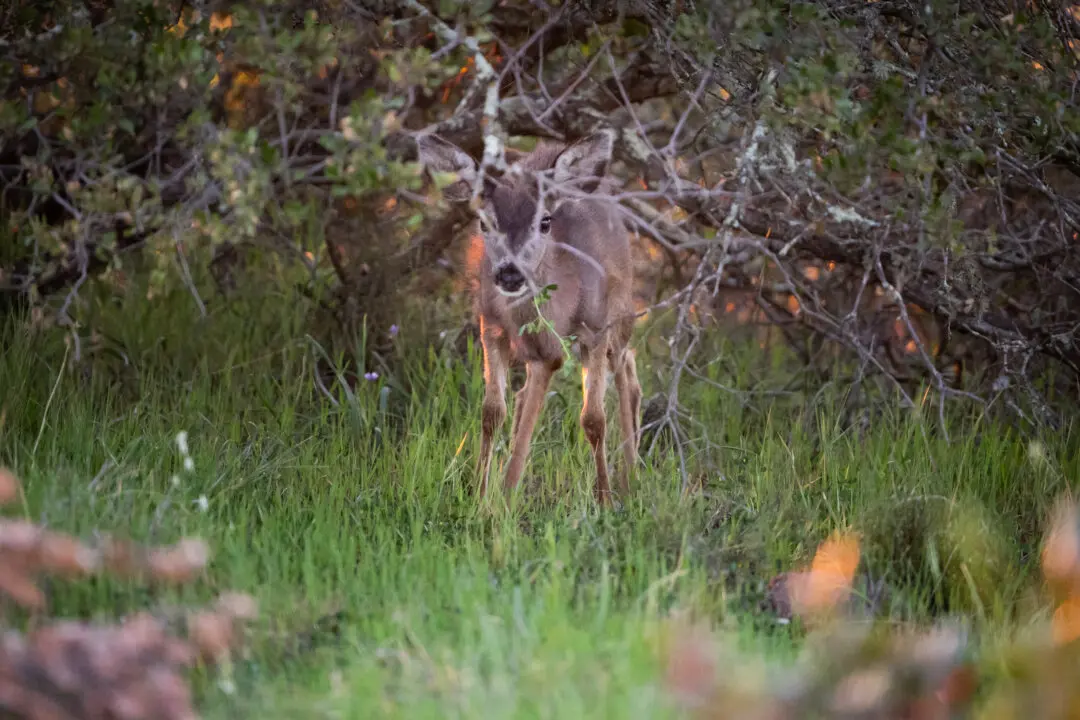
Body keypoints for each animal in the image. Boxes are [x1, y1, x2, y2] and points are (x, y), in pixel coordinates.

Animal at [415, 129, 642, 507]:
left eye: (545, 221)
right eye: (484, 222)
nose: (510, 273)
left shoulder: (590, 329)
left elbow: (593, 419)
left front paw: (605, 501)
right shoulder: (492, 326)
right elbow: (493, 411)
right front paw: (483, 499)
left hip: (619, 313)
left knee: (627, 370)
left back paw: (631, 476)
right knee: (527, 397)